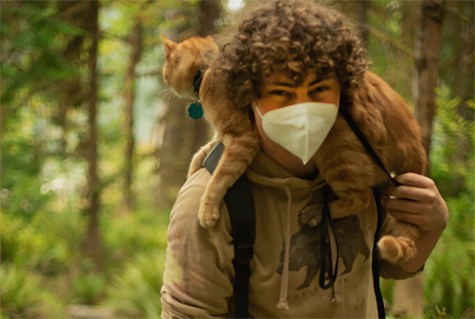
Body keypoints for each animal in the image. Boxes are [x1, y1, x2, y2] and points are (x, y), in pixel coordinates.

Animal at [162, 35, 262, 229]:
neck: (204, 72)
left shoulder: (242, 136)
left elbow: (220, 175)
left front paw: (207, 210)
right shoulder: (220, 135)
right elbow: (201, 152)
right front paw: (192, 170)